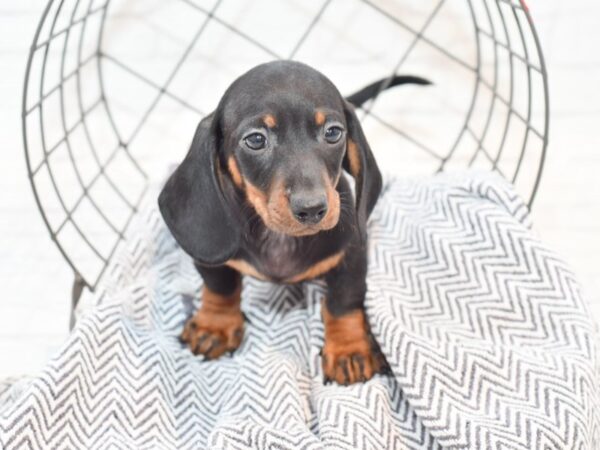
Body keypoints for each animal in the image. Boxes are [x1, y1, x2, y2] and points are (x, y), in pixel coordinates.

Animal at [159, 59, 428, 384]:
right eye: (256, 139)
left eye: (333, 132)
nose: (312, 209)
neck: (280, 238)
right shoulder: (211, 258)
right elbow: (220, 286)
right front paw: (215, 325)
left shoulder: (351, 256)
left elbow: (343, 300)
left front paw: (349, 349)